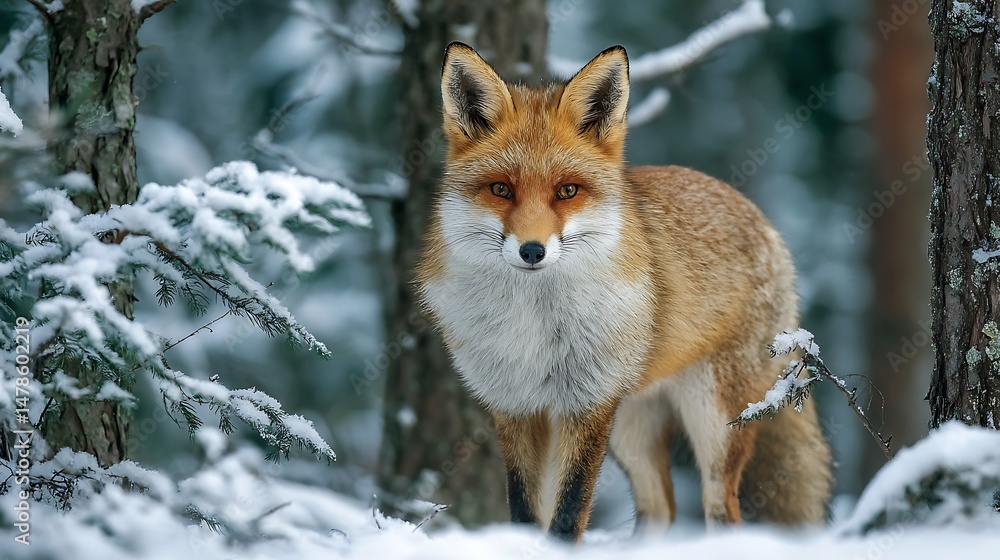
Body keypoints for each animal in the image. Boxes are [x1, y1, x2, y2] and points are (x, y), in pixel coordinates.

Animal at [415, 42, 833, 542]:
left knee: (722, 511)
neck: (533, 326)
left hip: (713, 421)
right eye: (501, 189)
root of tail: (764, 222)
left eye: (567, 191)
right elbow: (525, 512)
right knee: (661, 508)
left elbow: (568, 514)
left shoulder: (588, 404)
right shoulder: (517, 405)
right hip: (632, 427)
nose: (532, 250)